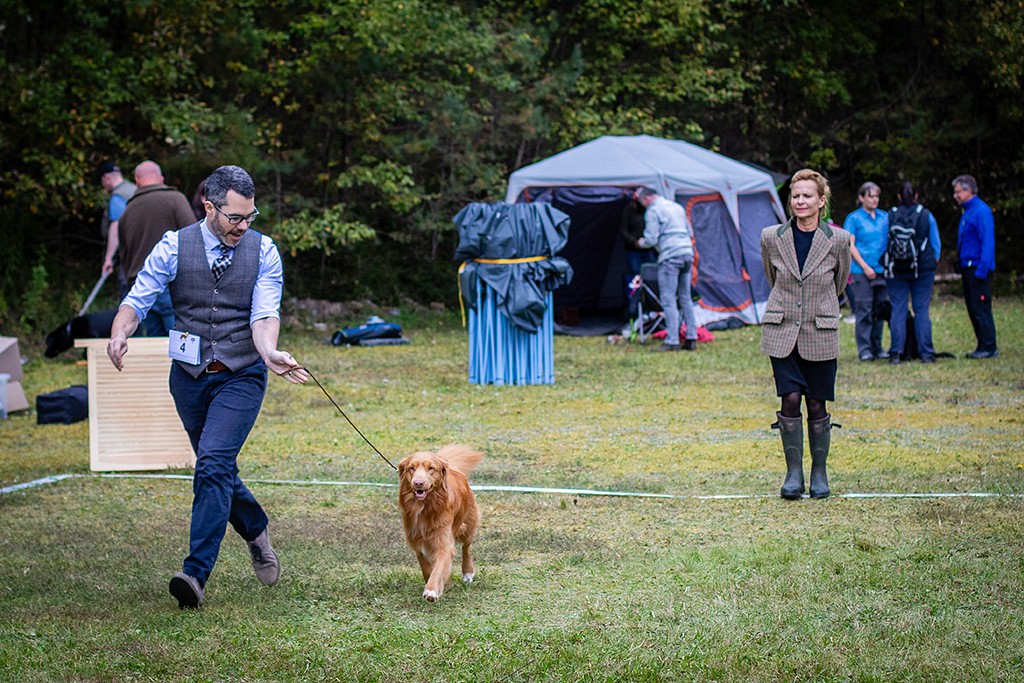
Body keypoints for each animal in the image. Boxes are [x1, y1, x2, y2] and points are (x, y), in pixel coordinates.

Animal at [395, 446, 483, 602]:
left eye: (431, 468)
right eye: (411, 468)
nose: (418, 483)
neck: (425, 507)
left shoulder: (443, 542)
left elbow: (439, 568)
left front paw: (432, 590)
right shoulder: (417, 541)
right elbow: (426, 568)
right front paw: (438, 583)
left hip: (468, 523)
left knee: (467, 547)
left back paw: (468, 572)